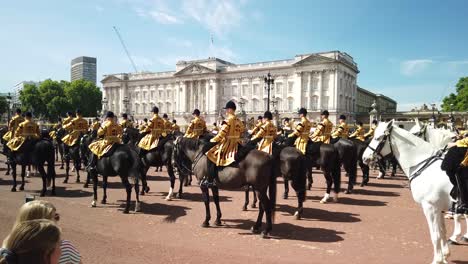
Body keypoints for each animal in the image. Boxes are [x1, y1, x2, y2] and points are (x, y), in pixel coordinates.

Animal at [360, 120, 466, 264]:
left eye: (378, 138)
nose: (364, 158)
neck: (424, 166)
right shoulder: (439, 208)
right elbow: (442, 231)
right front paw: (445, 255)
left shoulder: (430, 207)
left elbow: (435, 235)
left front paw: (438, 259)